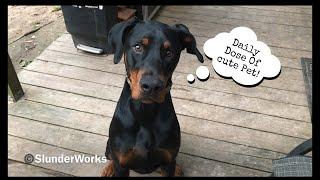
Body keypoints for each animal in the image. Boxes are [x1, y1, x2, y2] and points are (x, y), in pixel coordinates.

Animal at [101, 17, 204, 177]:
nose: (151, 86)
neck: (145, 112)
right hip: (109, 146)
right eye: (138, 47)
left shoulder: (167, 161)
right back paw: (108, 168)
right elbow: (117, 161)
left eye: (169, 52)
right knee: (110, 156)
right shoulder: (122, 164)